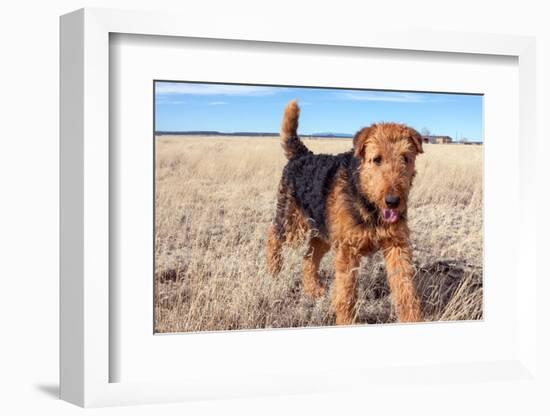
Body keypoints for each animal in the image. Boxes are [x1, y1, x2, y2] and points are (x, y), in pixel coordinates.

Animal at [266, 99, 424, 324]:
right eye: (377, 159)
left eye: (405, 158)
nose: (393, 202)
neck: (367, 200)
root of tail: (301, 155)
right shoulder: (348, 250)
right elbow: (346, 295)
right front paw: (346, 321)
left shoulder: (397, 246)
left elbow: (406, 291)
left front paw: (413, 319)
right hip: (291, 223)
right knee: (273, 237)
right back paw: (273, 272)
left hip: (323, 231)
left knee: (308, 257)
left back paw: (313, 290)